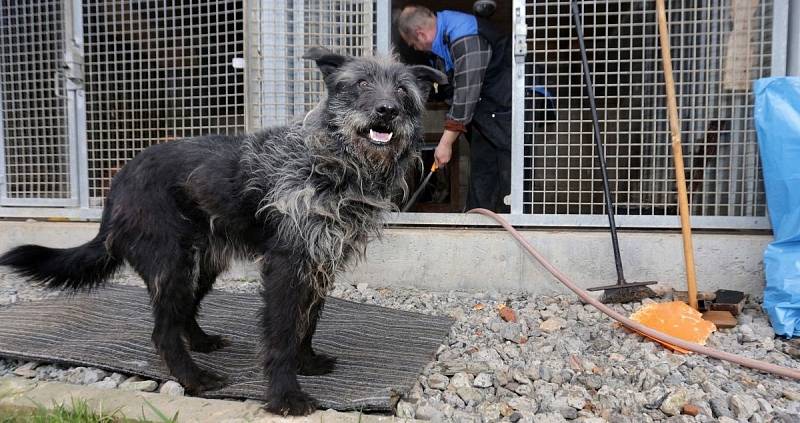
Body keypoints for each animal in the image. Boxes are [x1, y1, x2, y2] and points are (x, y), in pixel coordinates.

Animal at [0, 48, 444, 418]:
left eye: (403, 90)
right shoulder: (287, 263)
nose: (387, 111)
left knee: (183, 313)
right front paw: (286, 395)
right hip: (172, 263)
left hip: (203, 262)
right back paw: (195, 378)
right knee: (162, 331)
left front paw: (307, 361)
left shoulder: (321, 262)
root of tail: (117, 184)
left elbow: (308, 320)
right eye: (361, 83)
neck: (334, 163)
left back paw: (199, 342)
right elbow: (282, 332)